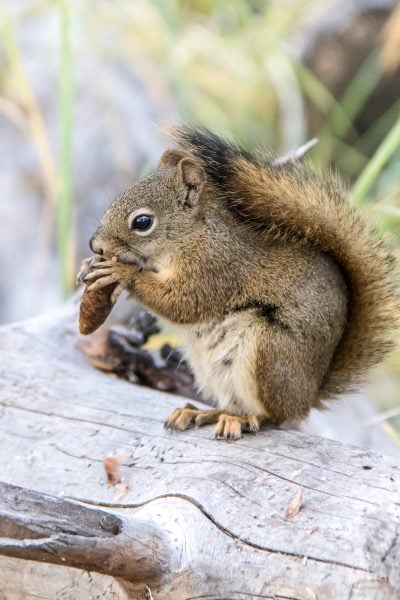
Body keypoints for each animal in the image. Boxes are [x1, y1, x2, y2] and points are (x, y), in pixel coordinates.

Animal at [80, 126, 396, 440]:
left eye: (143, 222)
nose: (95, 245)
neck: (192, 235)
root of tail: (307, 397)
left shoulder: (216, 268)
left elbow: (184, 302)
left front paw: (122, 272)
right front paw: (88, 267)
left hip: (268, 352)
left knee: (273, 416)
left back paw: (245, 420)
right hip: (213, 372)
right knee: (231, 404)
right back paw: (200, 413)